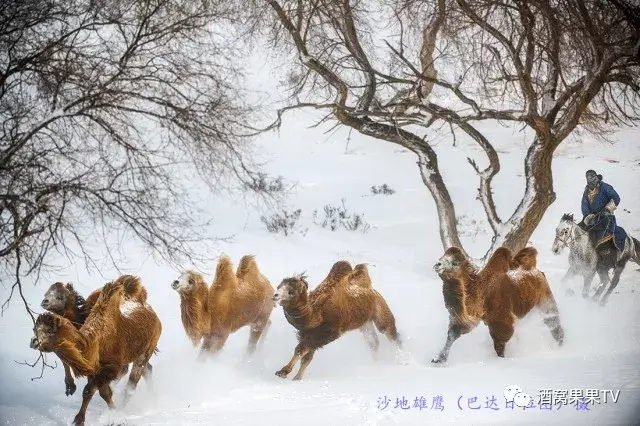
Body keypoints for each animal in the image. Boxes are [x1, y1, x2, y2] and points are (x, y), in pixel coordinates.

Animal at [31, 274, 161, 424]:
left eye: (59, 297)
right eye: (34, 329)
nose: (34, 341)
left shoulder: (107, 368)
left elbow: (100, 391)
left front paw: (116, 417)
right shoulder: (94, 368)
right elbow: (91, 391)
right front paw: (78, 417)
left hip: (145, 351)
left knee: (133, 381)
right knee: (144, 371)